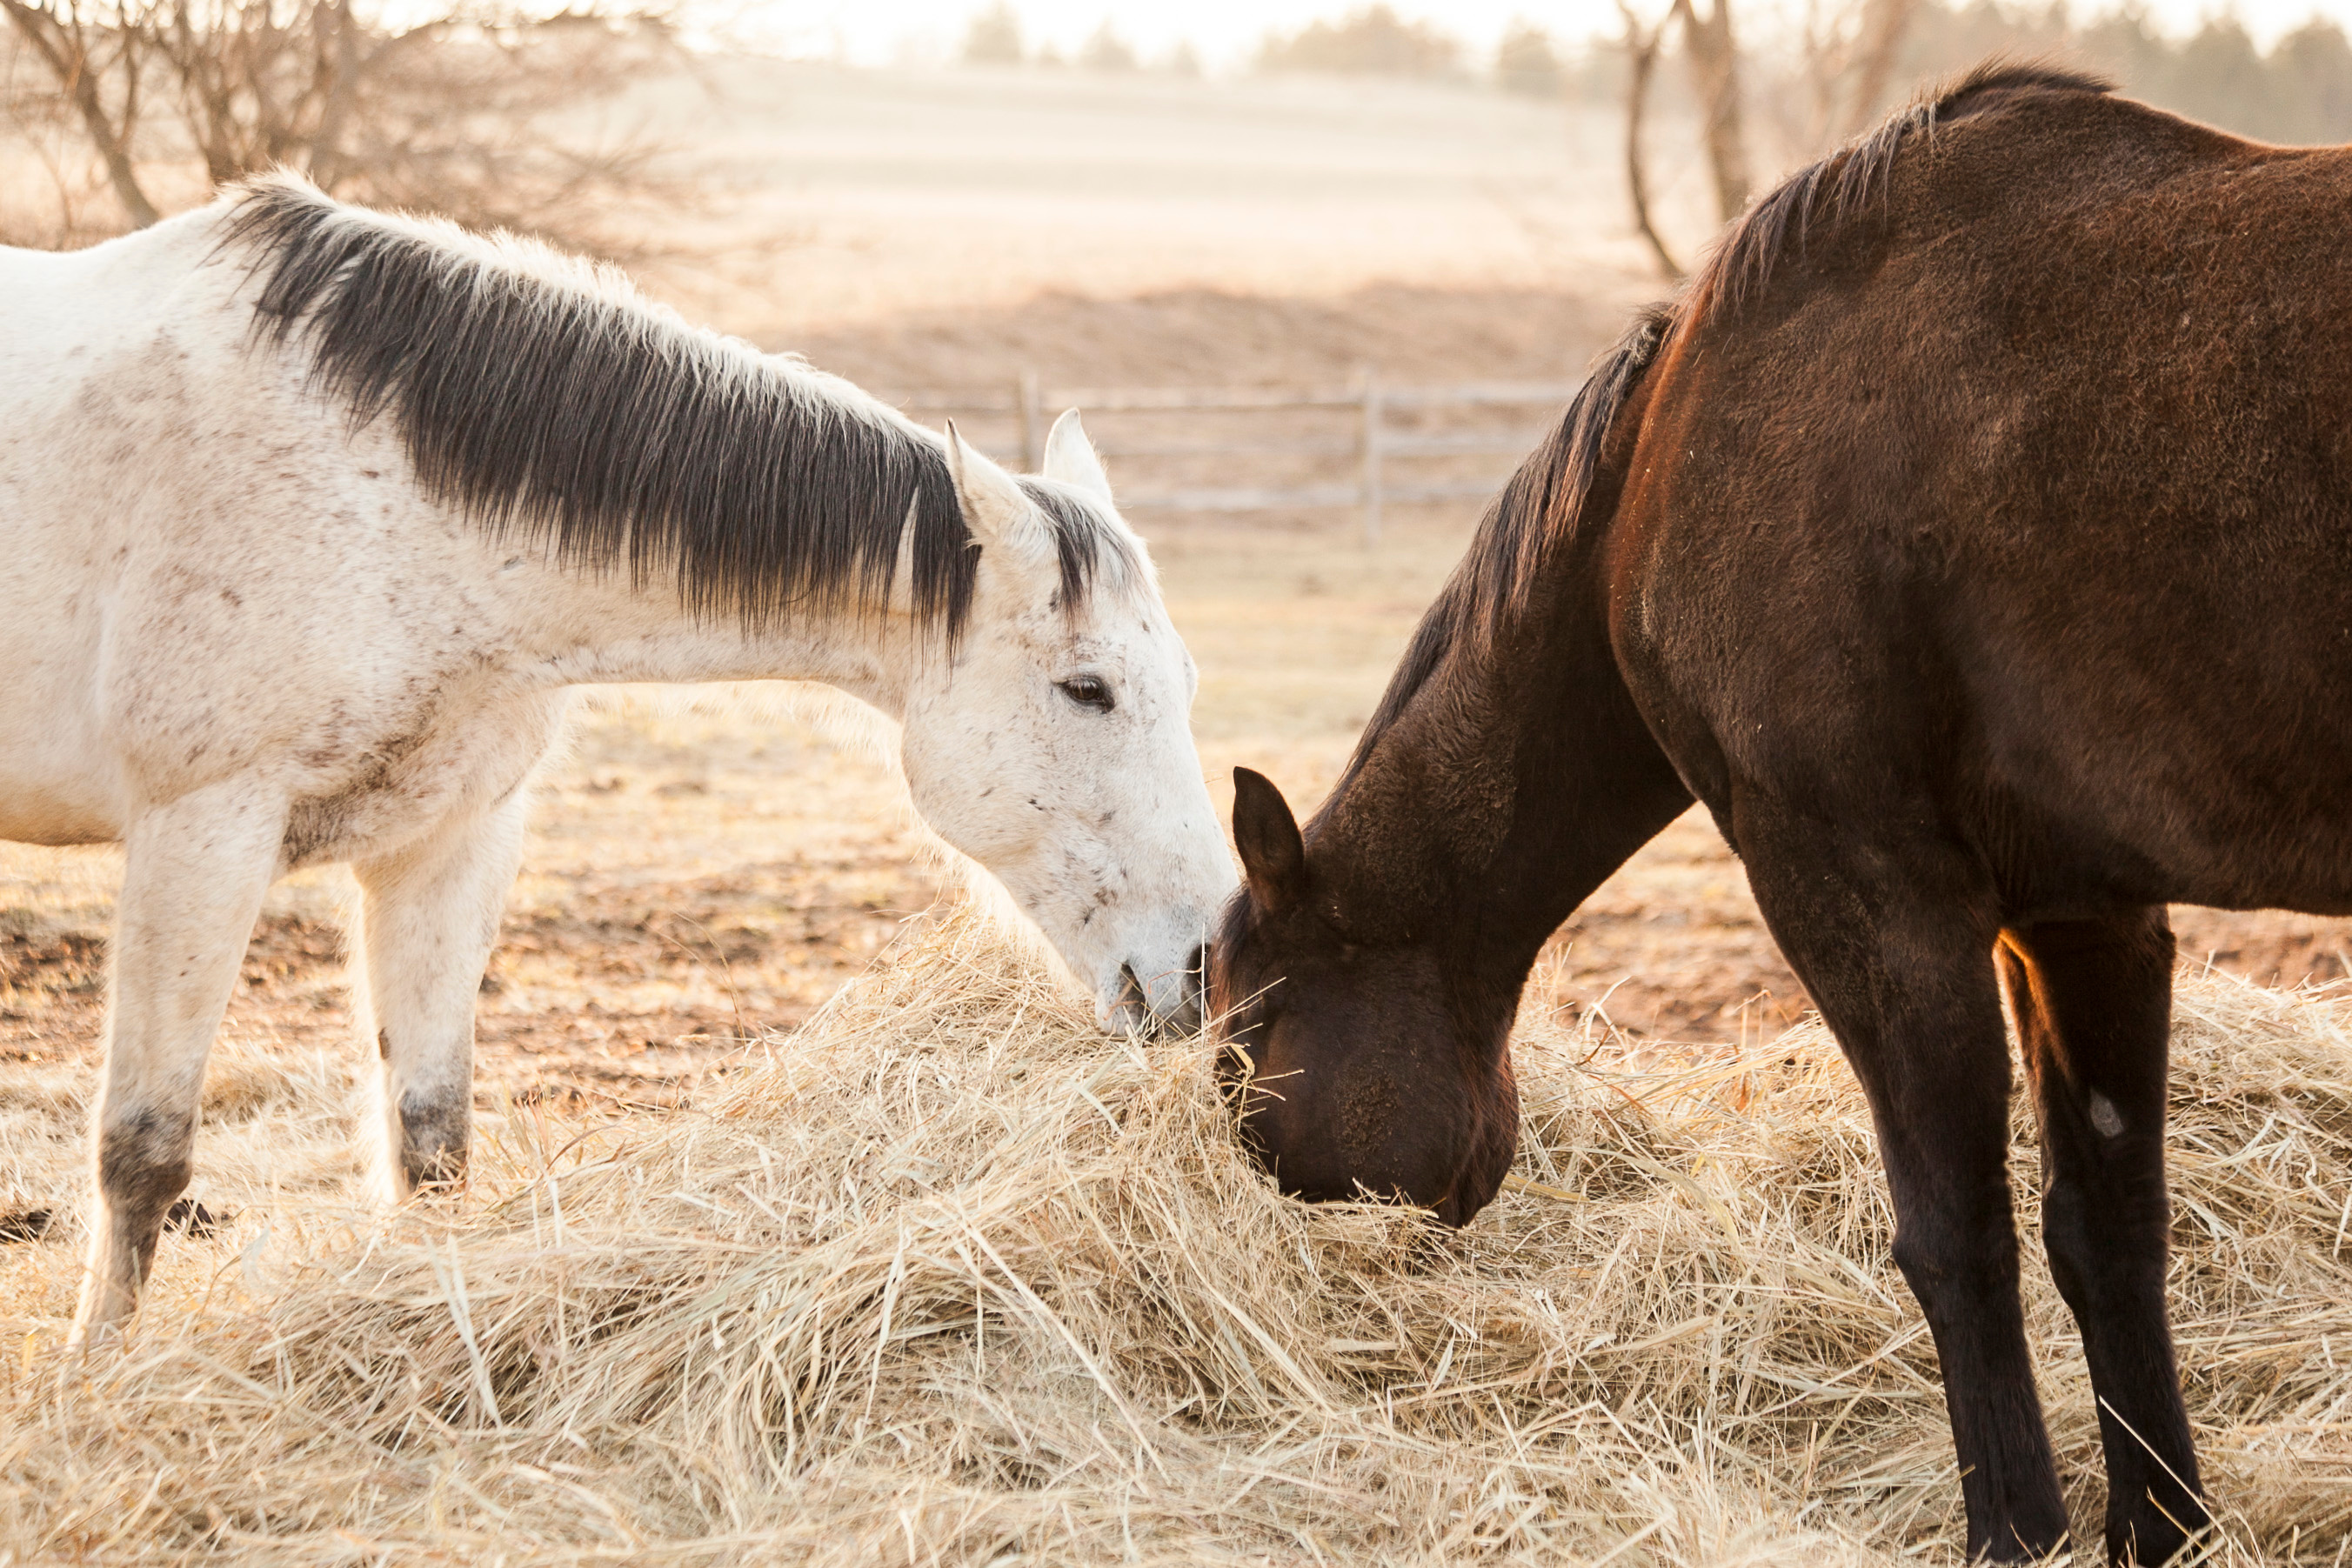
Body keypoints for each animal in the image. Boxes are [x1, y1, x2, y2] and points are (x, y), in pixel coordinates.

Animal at [1, 175, 1235, 1347]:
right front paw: (100, 1380)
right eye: (1088, 690)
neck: (383, 490)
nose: (1210, 962)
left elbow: (431, 1144)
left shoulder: (452, 840)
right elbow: (144, 1153)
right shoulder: (203, 827)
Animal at [1209, 64, 2352, 1562]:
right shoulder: (2082, 911)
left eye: (1250, 1041)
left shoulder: (1864, 895)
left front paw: (2012, 1526)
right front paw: (2159, 1525)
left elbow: (1954, 1233)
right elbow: (2107, 1226)